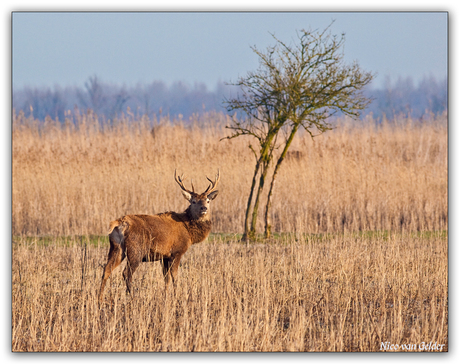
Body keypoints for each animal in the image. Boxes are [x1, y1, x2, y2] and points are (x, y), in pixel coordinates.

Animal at [98, 170, 220, 304]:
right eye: (193, 201)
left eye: (207, 200)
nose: (204, 208)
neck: (188, 231)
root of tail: (119, 223)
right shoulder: (176, 252)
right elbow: (174, 277)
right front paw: (177, 297)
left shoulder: (165, 256)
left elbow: (166, 278)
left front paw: (165, 296)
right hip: (136, 249)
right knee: (126, 273)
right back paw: (132, 298)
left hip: (116, 247)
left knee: (106, 270)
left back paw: (100, 299)